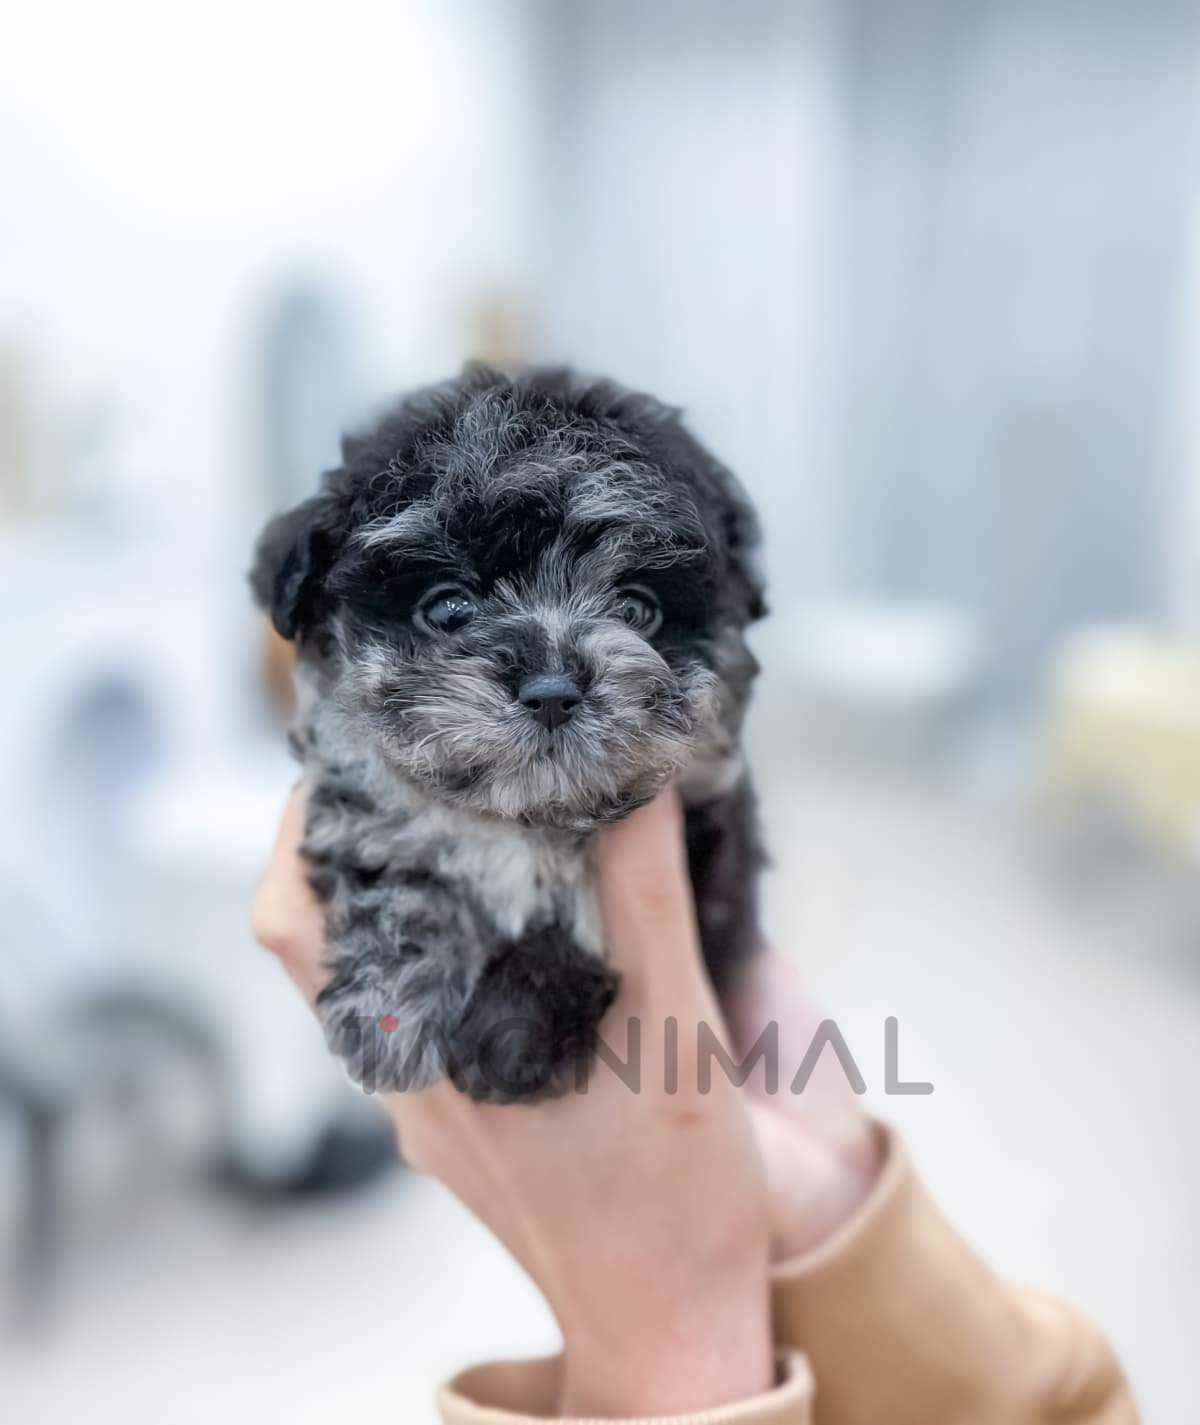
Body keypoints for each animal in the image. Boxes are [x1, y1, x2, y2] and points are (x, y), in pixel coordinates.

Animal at [251, 364, 766, 1101]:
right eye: (448, 608)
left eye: (638, 608)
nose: (551, 690)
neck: (527, 823)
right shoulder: (359, 804)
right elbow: (401, 872)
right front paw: (387, 1010)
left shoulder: (715, 864)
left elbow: (585, 922)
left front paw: (512, 1028)